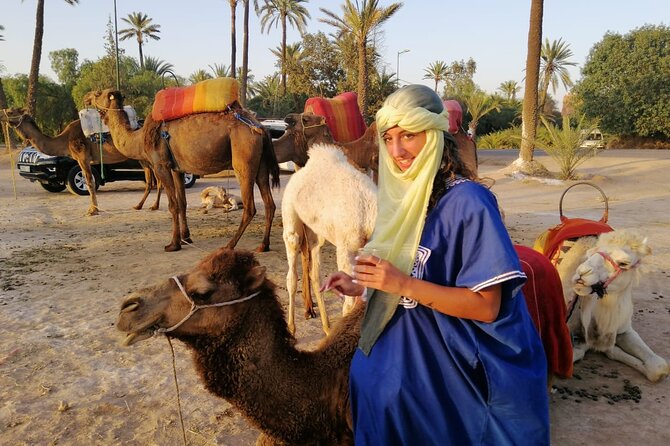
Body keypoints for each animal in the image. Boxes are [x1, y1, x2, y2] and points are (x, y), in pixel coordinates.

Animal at [87, 89, 280, 252]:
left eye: (97, 93)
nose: (86, 97)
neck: (140, 138)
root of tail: (261, 128)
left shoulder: (161, 166)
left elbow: (172, 205)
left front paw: (173, 244)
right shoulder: (177, 169)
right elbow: (182, 203)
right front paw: (186, 238)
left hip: (243, 160)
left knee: (250, 207)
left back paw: (229, 245)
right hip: (260, 164)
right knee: (269, 203)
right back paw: (263, 245)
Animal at [282, 144, 377, 335]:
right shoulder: (347, 248)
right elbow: (349, 303)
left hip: (315, 235)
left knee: (315, 274)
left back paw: (326, 328)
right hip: (291, 222)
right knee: (291, 276)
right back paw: (292, 329)